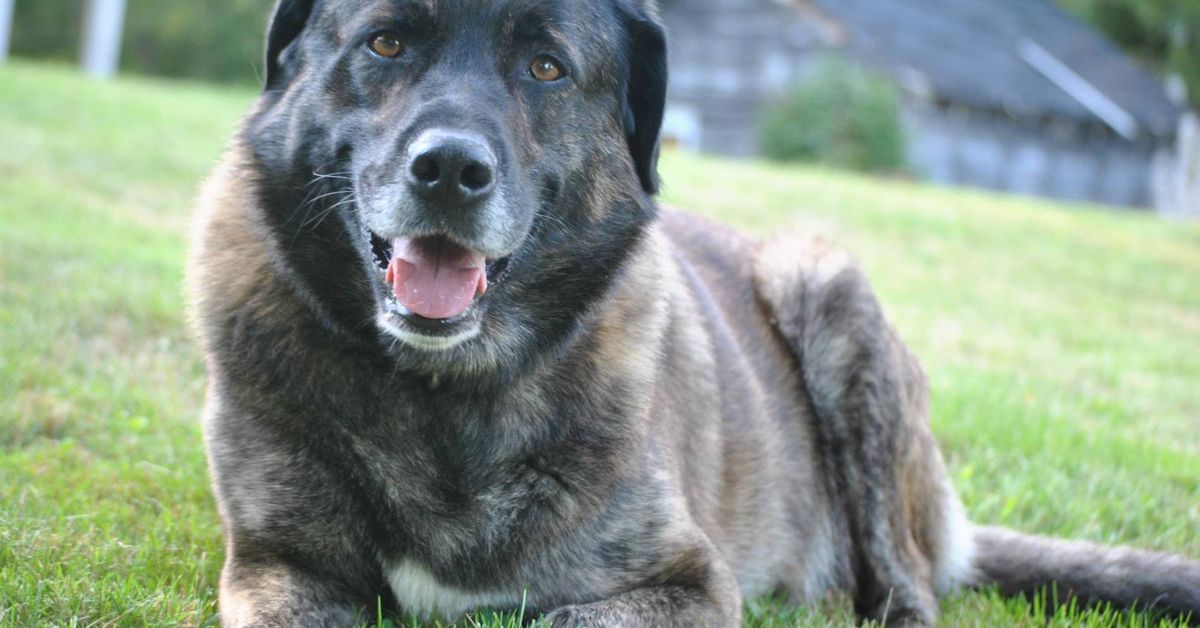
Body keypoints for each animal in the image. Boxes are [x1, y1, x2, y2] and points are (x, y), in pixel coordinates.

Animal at [184, 0, 1200, 624]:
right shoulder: (279, 568)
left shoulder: (685, 583)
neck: (446, 393)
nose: (448, 171)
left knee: (906, 586)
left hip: (828, 292)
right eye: (386, 43)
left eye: (546, 67)